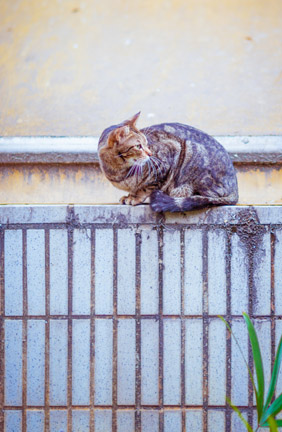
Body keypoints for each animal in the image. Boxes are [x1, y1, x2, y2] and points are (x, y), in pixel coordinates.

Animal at [98, 112, 239, 212]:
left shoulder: (169, 154)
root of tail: (235, 190)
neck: (119, 170)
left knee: (209, 198)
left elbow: (147, 187)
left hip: (192, 152)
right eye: (138, 146)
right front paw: (130, 195)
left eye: (147, 143)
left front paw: (135, 197)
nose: (150, 153)